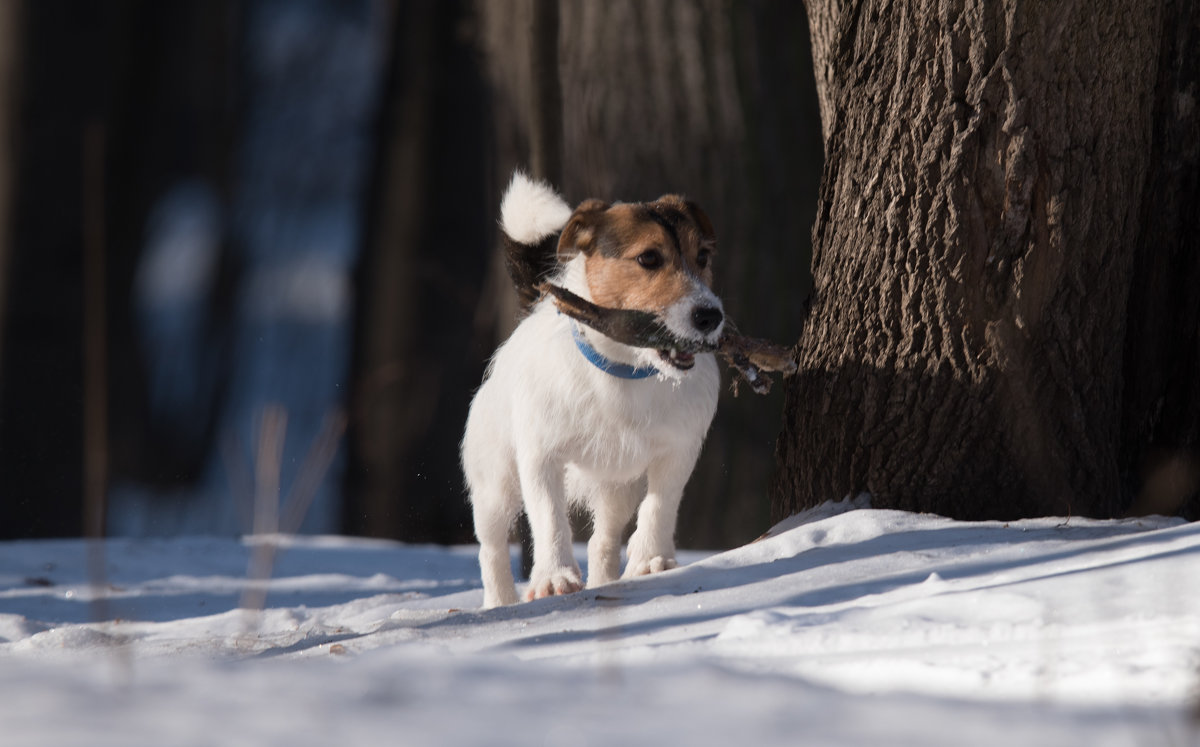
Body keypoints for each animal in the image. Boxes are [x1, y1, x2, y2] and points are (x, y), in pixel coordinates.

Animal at [458, 171, 720, 610]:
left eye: (702, 256)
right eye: (649, 258)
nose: (710, 315)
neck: (624, 371)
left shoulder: (678, 451)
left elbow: (660, 504)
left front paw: (651, 561)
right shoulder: (540, 458)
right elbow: (549, 518)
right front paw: (554, 577)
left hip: (618, 484)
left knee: (604, 538)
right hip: (495, 481)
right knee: (490, 547)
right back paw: (500, 602)